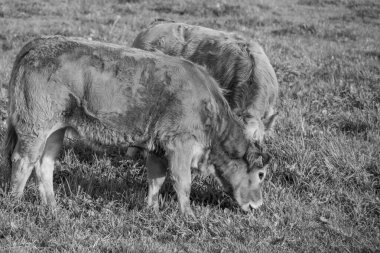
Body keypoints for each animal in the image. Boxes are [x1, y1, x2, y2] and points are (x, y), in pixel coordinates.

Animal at [3, 35, 270, 217]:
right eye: (261, 174)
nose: (258, 204)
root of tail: (38, 43)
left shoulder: (158, 148)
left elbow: (156, 180)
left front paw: (151, 209)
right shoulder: (179, 145)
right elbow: (182, 182)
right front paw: (188, 215)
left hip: (55, 130)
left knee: (44, 164)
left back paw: (52, 206)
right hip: (34, 127)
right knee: (22, 161)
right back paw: (15, 203)